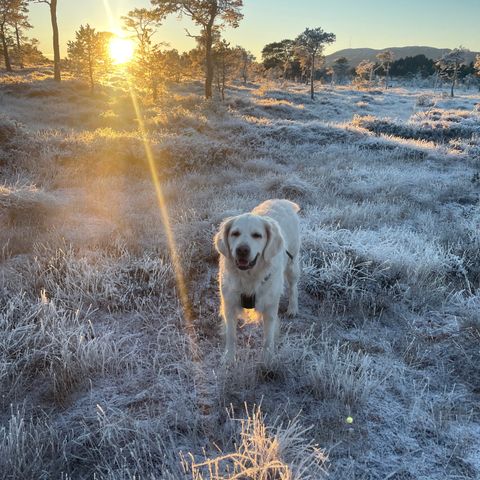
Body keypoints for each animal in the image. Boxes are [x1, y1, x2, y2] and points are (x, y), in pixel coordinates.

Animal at [215, 198, 300, 360]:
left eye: (257, 235)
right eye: (235, 233)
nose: (242, 250)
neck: (249, 276)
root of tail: (283, 201)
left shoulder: (270, 307)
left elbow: (268, 337)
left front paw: (267, 359)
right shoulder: (229, 303)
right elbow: (231, 335)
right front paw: (229, 358)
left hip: (292, 264)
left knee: (293, 287)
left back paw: (293, 308)